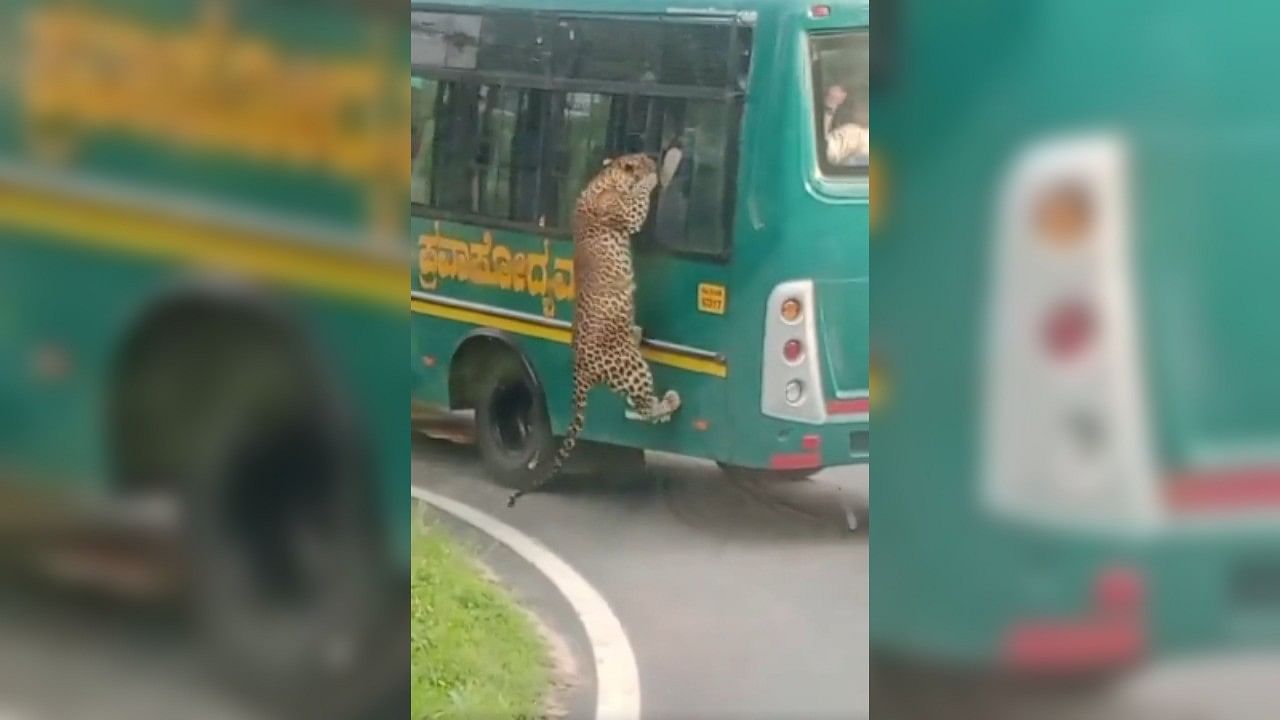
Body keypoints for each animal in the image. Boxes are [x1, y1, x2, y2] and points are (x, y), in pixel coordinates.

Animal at [506, 154, 680, 507]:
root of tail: (580, 370)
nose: (653, 157)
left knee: (639, 406)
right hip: (632, 365)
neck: (605, 178)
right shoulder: (627, 215)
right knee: (643, 407)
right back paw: (670, 402)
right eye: (642, 158)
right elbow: (639, 200)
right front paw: (656, 173)